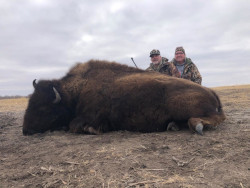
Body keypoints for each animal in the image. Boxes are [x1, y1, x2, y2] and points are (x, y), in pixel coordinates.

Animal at [23, 59, 227, 135]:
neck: (76, 91)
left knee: (216, 118)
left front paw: (92, 130)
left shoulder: (90, 116)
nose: (25, 130)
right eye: (29, 103)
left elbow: (77, 125)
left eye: (44, 108)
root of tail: (212, 92)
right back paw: (173, 125)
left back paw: (197, 125)